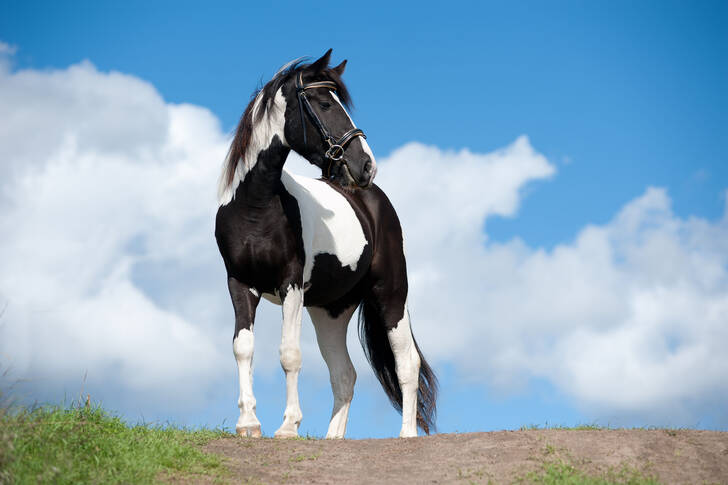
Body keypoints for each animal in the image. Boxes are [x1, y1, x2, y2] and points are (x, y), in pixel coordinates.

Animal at [213, 50, 436, 438]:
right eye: (323, 103)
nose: (366, 165)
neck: (255, 206)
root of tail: (374, 200)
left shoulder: (290, 284)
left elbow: (289, 354)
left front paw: (288, 426)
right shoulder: (240, 282)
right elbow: (243, 347)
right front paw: (248, 424)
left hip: (391, 294)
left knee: (407, 362)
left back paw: (407, 434)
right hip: (330, 312)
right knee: (345, 374)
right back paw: (333, 438)